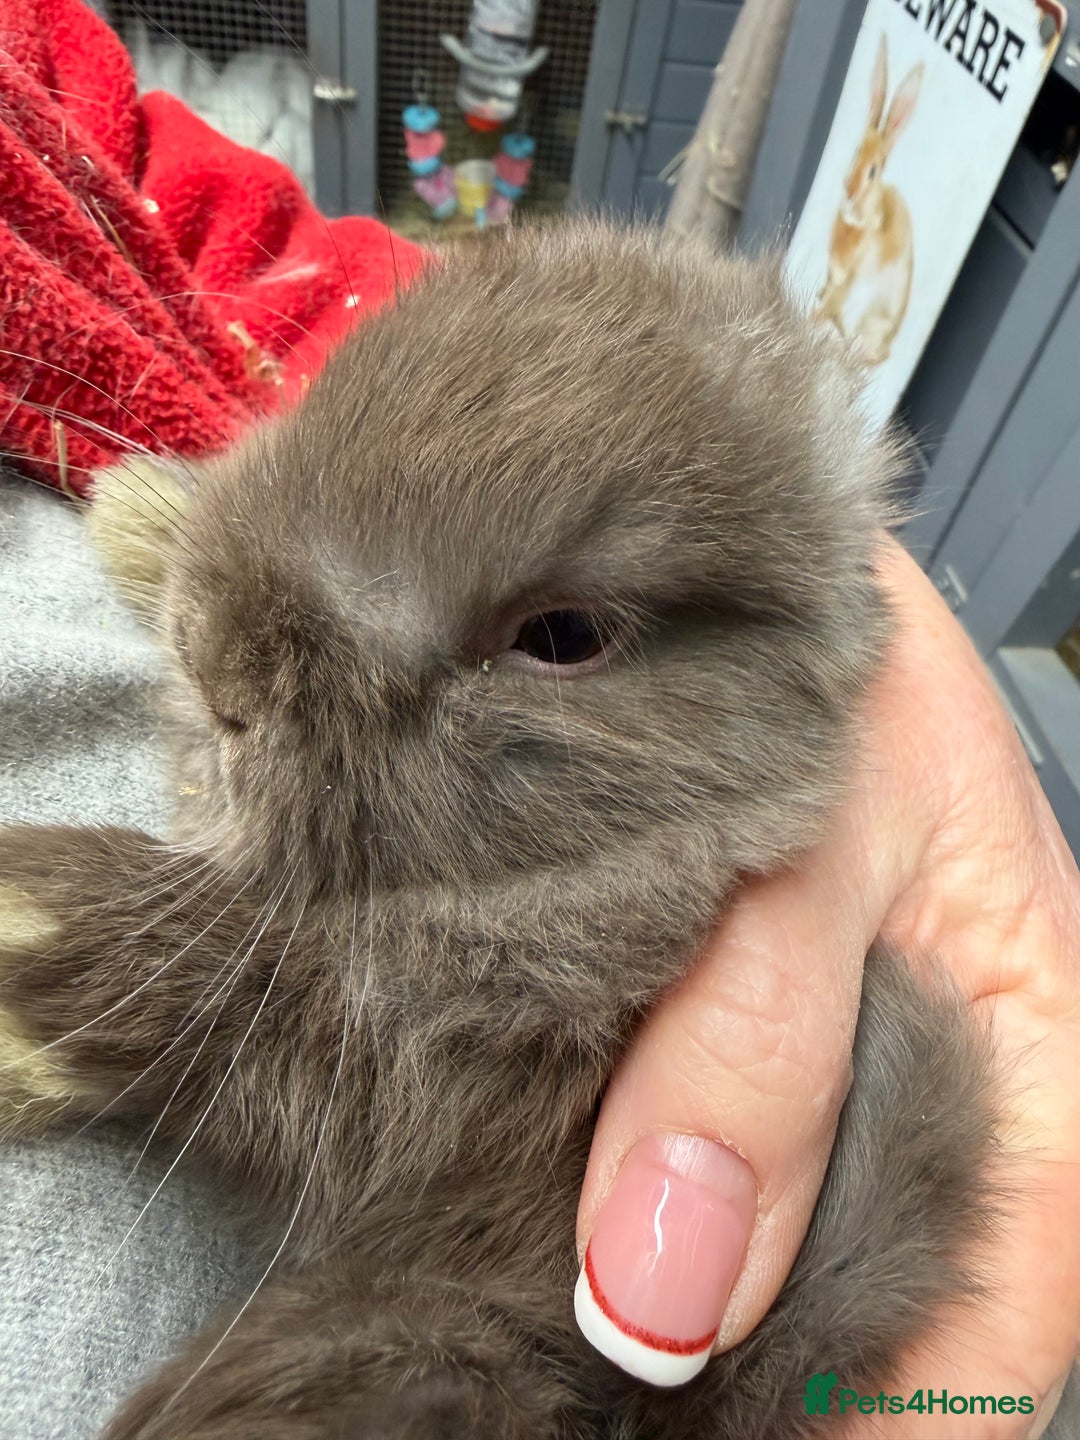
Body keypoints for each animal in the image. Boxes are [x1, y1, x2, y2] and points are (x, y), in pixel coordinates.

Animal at [0, 219, 1004, 1439]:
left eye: (562, 636)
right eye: (336, 388)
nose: (216, 664)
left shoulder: (470, 1061)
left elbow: (281, 1000)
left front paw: (24, 924)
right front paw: (143, 509)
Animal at [814, 35, 923, 367]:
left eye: (874, 171)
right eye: (854, 153)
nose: (849, 191)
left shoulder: (851, 279)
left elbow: (833, 302)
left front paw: (813, 318)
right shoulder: (834, 274)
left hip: (874, 316)